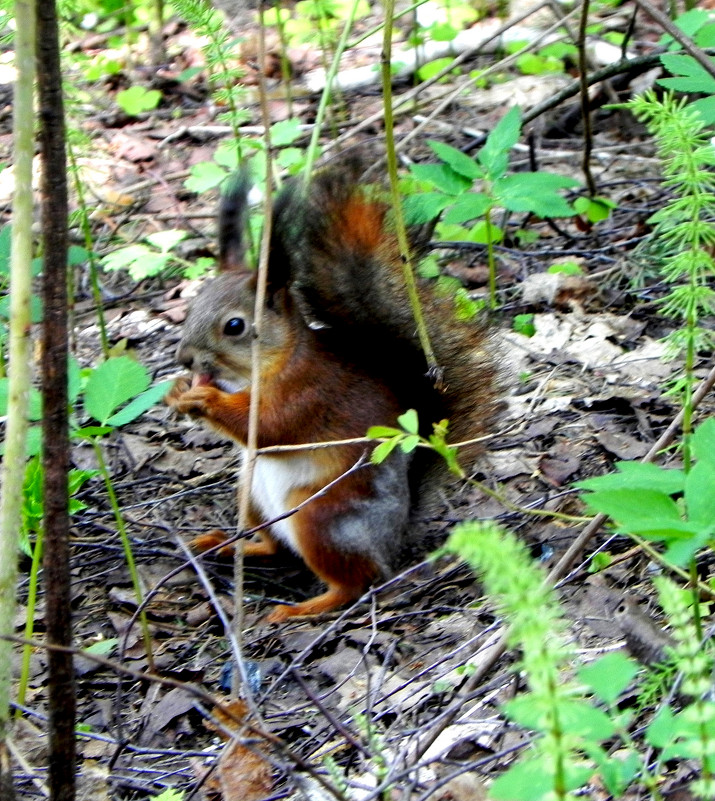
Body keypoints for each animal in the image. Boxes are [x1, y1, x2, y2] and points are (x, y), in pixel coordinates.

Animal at [166, 156, 498, 620]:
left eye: (234, 326)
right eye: (193, 305)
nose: (185, 358)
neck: (272, 363)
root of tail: (393, 538)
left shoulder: (309, 394)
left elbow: (269, 429)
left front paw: (204, 399)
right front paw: (177, 389)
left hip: (322, 518)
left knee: (355, 582)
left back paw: (302, 608)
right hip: (252, 495)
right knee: (276, 546)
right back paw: (231, 545)